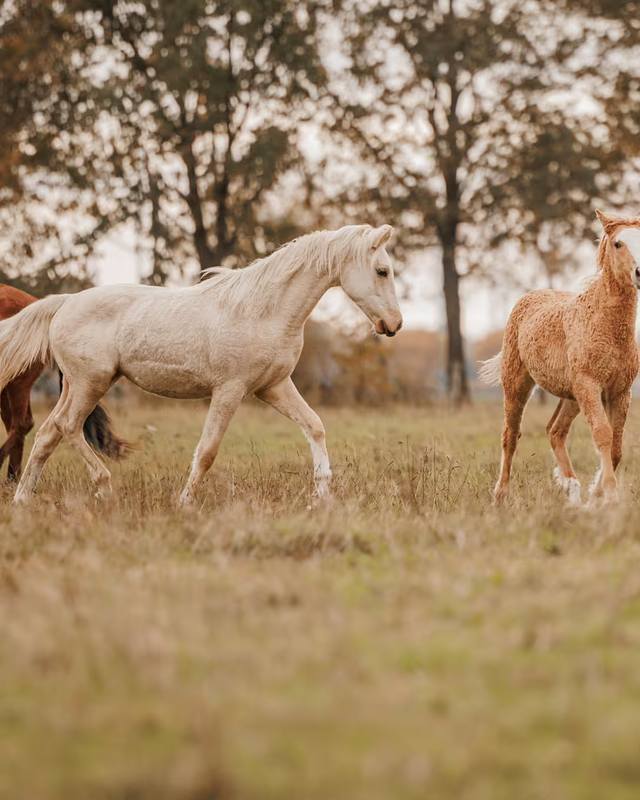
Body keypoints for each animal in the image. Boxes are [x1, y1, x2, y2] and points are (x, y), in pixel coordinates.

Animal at [480, 210, 640, 506]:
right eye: (618, 244)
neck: (605, 325)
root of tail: (529, 297)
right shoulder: (590, 385)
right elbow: (603, 435)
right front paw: (610, 496)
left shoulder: (620, 392)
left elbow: (616, 446)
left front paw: (595, 497)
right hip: (518, 384)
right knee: (511, 435)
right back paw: (501, 495)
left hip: (572, 396)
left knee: (555, 431)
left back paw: (572, 488)